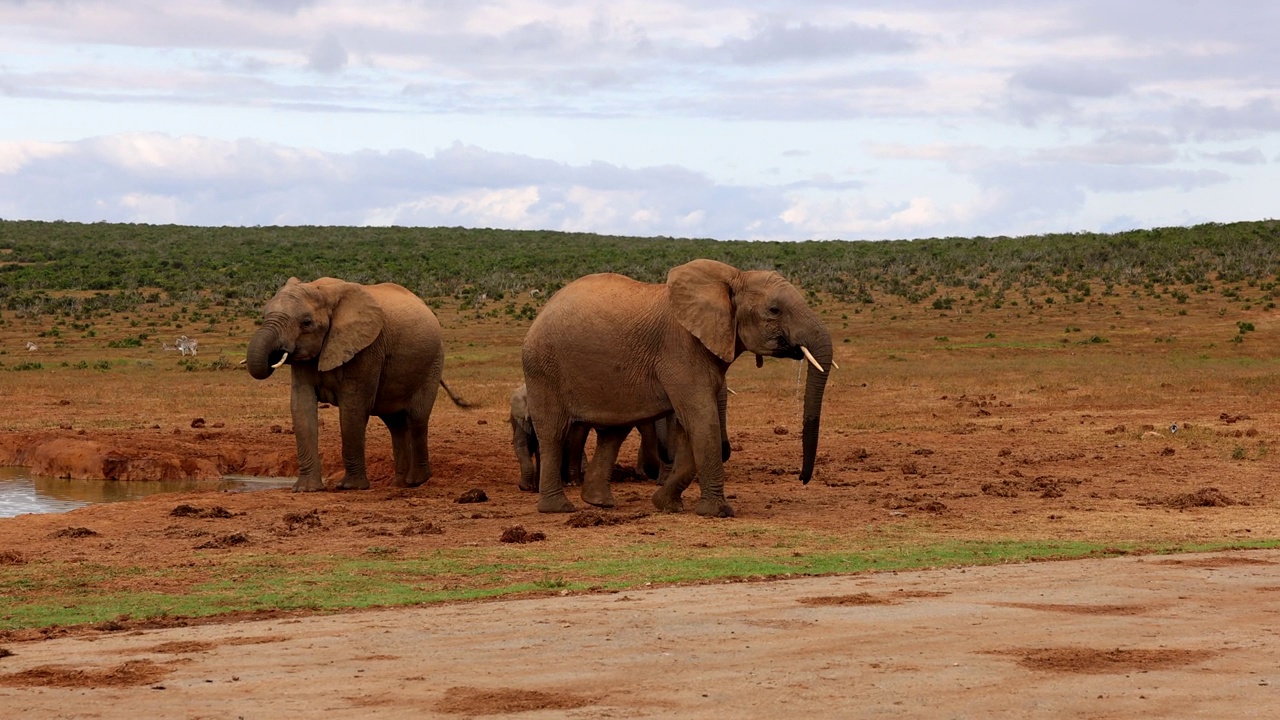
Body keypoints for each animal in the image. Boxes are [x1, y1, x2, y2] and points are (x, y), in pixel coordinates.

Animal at [241, 278, 468, 489]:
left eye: (306, 323)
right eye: (263, 316)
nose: (274, 355)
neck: (324, 291)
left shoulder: (367, 348)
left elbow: (353, 406)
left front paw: (350, 487)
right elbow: (301, 406)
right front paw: (306, 489)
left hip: (433, 361)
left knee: (417, 418)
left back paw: (417, 481)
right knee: (396, 423)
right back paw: (399, 483)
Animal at [519, 257, 829, 515]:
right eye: (774, 310)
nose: (802, 478)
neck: (734, 277)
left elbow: (689, 427)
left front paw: (666, 505)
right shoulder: (680, 351)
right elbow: (701, 420)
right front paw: (718, 512)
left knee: (613, 433)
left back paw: (600, 503)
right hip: (543, 368)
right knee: (554, 432)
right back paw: (558, 508)